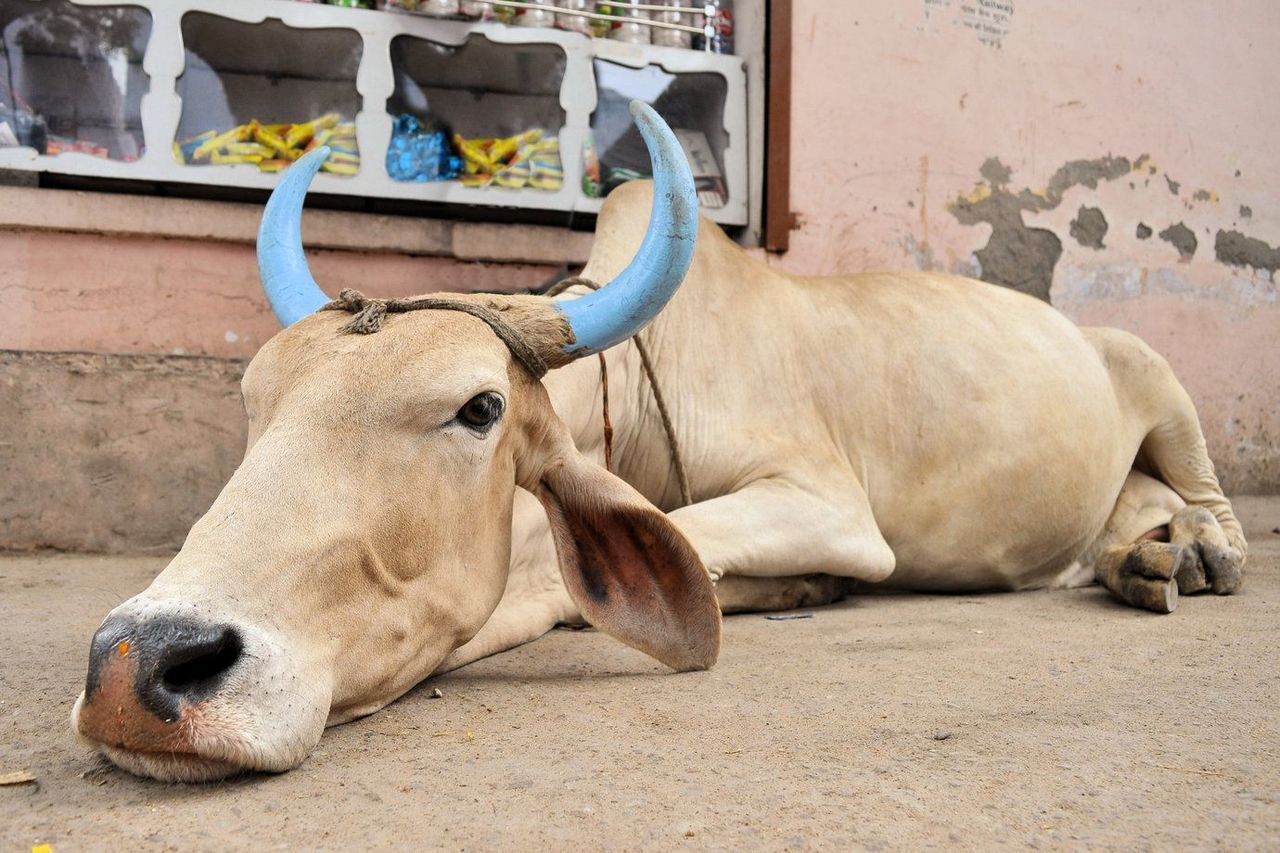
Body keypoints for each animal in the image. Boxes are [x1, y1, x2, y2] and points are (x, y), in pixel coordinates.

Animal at [67, 101, 1239, 778]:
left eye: (478, 408)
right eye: (255, 401)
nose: (141, 664)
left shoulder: (826, 501)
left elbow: (602, 556)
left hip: (1153, 371)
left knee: (1200, 491)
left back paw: (1197, 552)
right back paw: (1142, 557)